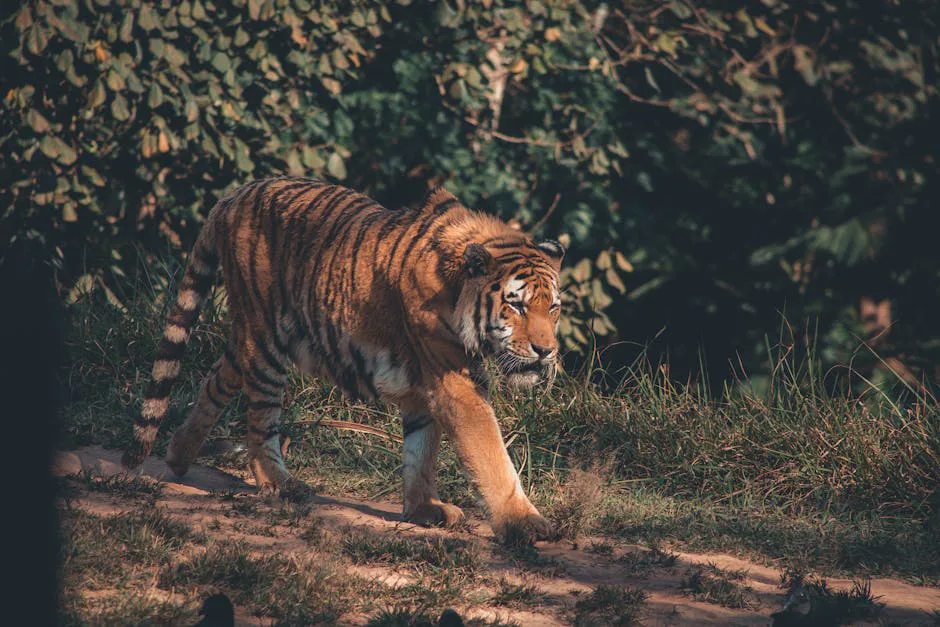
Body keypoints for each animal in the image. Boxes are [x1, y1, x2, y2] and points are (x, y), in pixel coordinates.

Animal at [121, 176, 564, 539]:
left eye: (554, 308)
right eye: (517, 305)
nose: (546, 351)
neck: (456, 286)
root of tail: (235, 194)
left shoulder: (424, 385)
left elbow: (421, 449)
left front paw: (424, 509)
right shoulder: (454, 383)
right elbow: (490, 453)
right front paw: (523, 523)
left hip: (249, 337)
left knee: (217, 378)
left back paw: (178, 455)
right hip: (266, 341)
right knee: (260, 420)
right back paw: (280, 484)